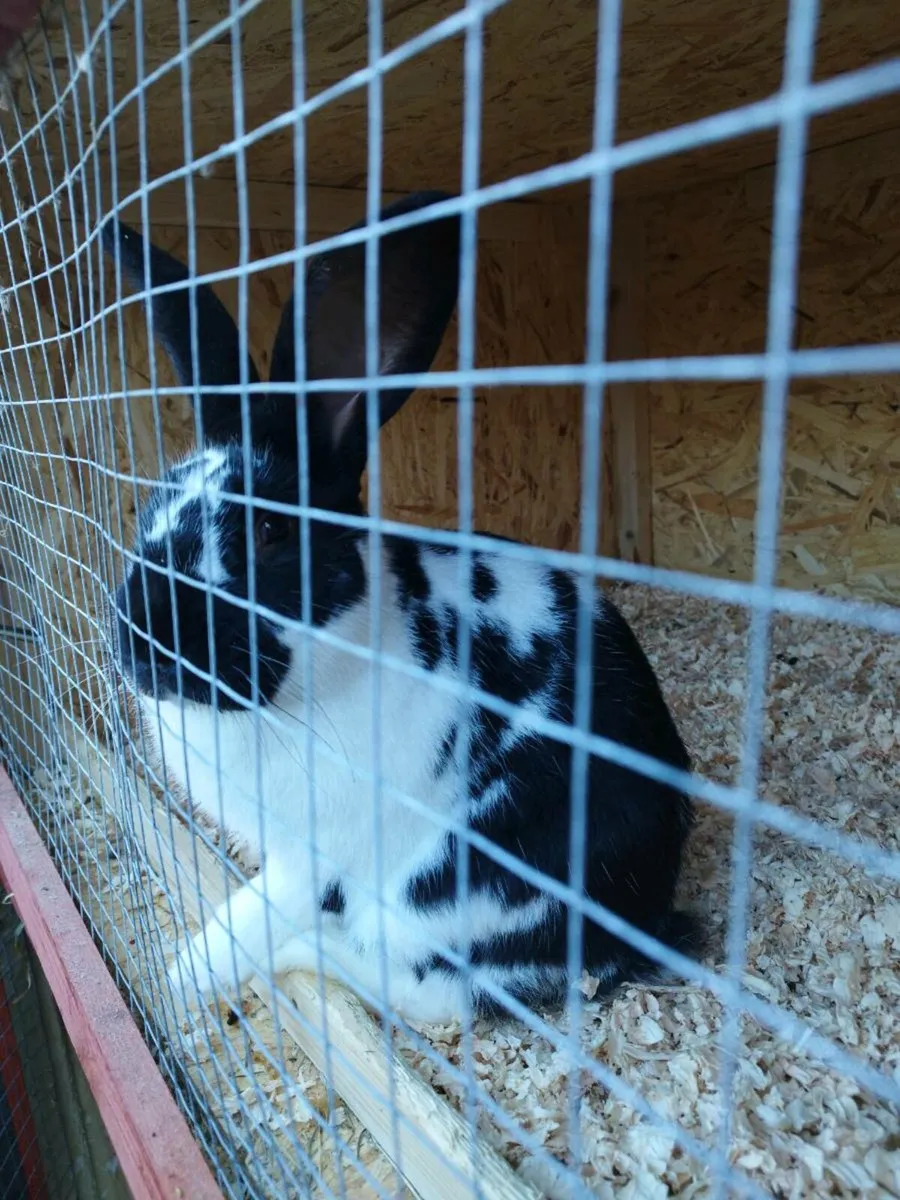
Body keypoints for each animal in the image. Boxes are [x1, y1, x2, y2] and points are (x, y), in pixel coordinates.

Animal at [105, 191, 695, 1025]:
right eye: (150, 510)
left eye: (268, 532)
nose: (142, 641)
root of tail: (643, 923)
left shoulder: (314, 855)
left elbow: (247, 918)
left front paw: (184, 977)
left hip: (446, 901)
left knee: (424, 990)